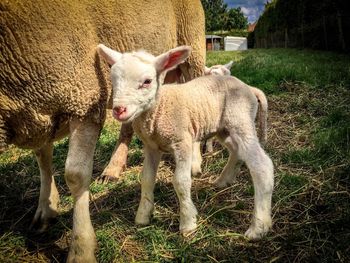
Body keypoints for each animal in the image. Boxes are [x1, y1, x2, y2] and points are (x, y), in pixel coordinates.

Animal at [0, 1, 205, 262]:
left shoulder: (83, 100)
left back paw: (195, 161)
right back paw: (113, 167)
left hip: (193, 47)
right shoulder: (36, 111)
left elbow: (75, 176)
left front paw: (81, 248)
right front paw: (46, 207)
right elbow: (43, 158)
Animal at [98, 44, 274, 239]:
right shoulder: (151, 146)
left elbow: (181, 181)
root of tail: (249, 87)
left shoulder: (182, 141)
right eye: (113, 80)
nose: (119, 110)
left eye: (147, 81)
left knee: (262, 165)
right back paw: (223, 181)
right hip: (224, 128)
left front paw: (188, 223)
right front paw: (142, 216)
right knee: (236, 151)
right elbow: (147, 179)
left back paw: (258, 227)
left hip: (240, 120)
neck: (159, 108)